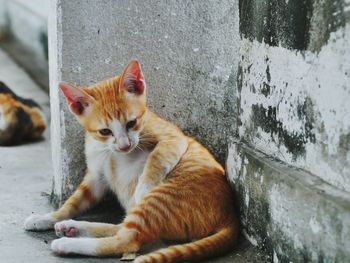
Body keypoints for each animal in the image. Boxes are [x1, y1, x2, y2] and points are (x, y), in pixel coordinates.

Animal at [23, 60, 238, 263]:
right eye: (105, 131)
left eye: (132, 123)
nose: (124, 145)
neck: (110, 151)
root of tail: (230, 214)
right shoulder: (96, 177)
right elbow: (73, 202)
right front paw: (48, 217)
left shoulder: (174, 138)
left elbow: (157, 157)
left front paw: (143, 188)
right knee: (123, 228)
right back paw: (72, 227)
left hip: (162, 198)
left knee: (127, 240)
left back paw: (67, 243)